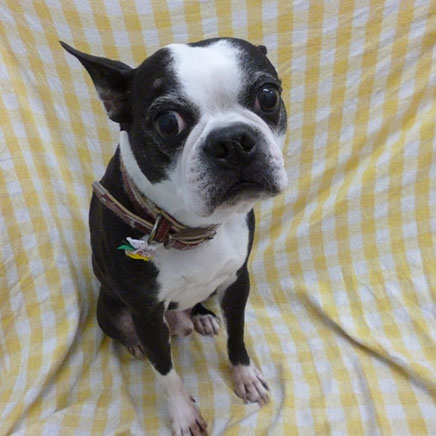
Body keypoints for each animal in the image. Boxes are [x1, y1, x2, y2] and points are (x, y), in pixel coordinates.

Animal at [61, 37, 288, 435]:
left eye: (268, 96)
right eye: (168, 123)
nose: (233, 140)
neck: (192, 228)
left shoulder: (237, 280)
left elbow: (237, 334)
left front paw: (245, 376)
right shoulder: (147, 313)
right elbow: (165, 371)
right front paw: (184, 414)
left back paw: (200, 315)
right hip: (112, 310)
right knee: (132, 335)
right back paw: (138, 344)